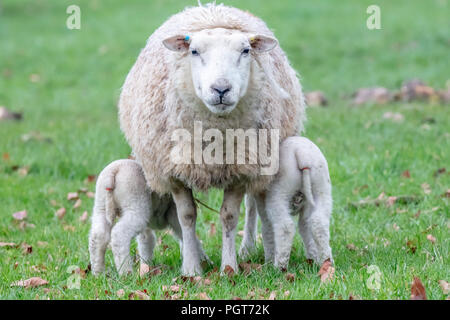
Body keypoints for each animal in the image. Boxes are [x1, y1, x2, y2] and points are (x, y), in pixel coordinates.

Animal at [118, 2, 306, 276]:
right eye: (194, 51)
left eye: (246, 50)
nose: (221, 89)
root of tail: (212, 7)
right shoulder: (175, 170)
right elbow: (186, 216)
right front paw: (191, 269)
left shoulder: (240, 168)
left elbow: (229, 216)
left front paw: (229, 267)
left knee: (252, 205)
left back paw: (247, 248)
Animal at [239, 136, 334, 268]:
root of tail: (302, 154)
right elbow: (304, 227)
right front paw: (313, 257)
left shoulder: (261, 197)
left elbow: (266, 227)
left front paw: (268, 260)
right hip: (322, 187)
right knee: (319, 223)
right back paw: (327, 262)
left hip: (279, 193)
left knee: (285, 227)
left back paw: (279, 266)